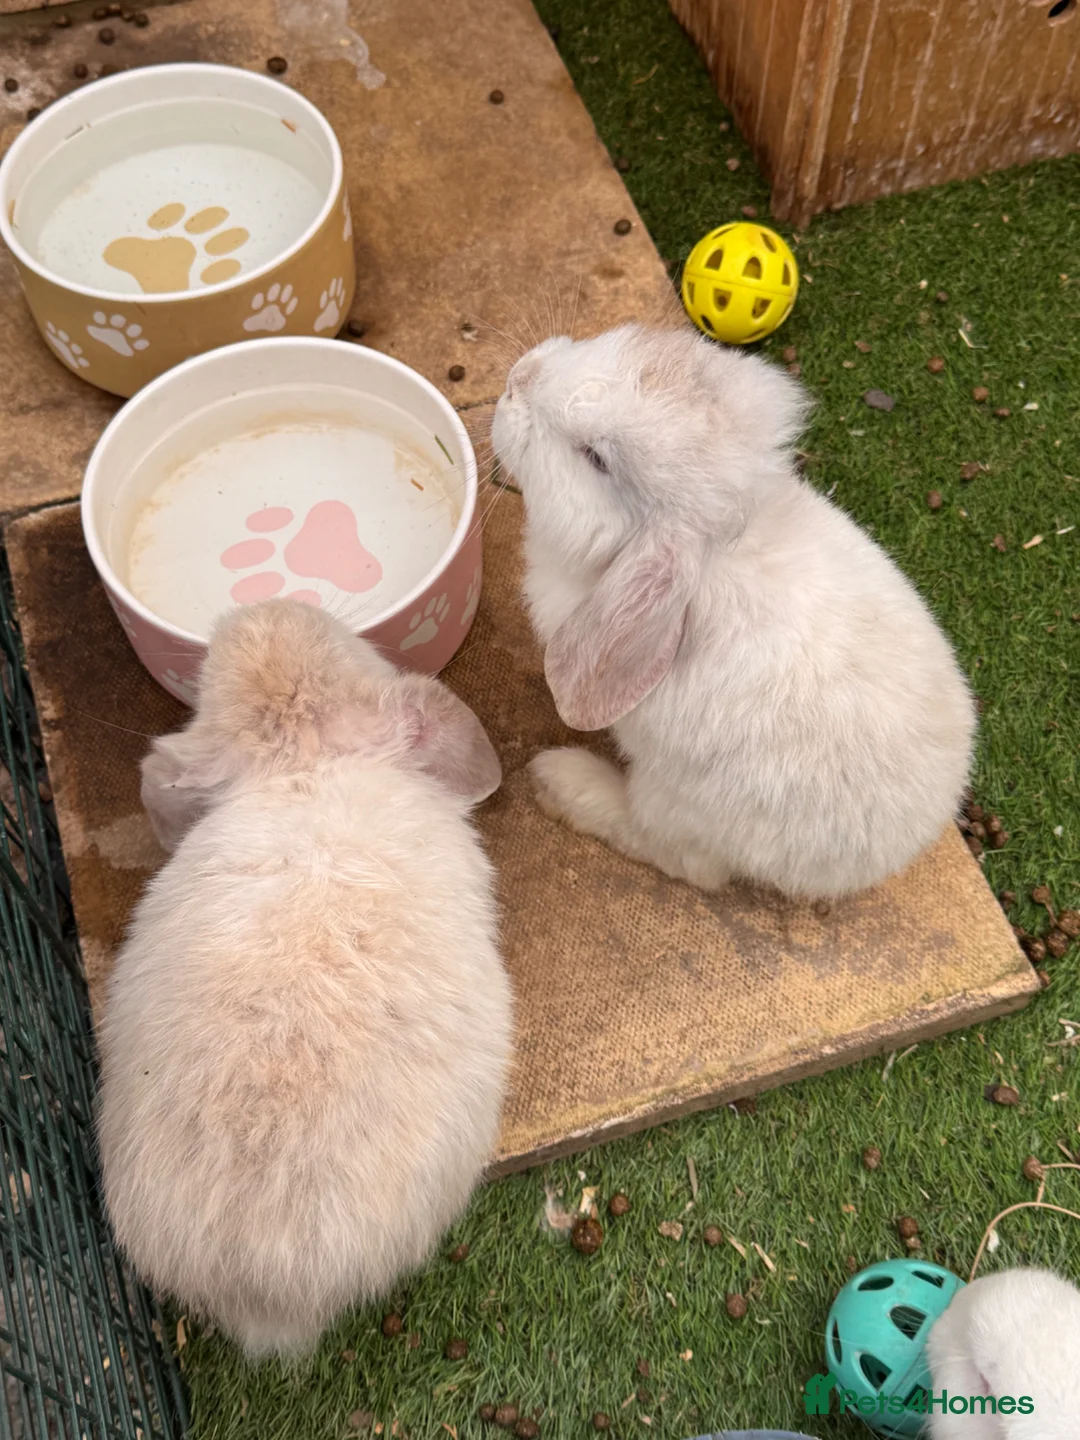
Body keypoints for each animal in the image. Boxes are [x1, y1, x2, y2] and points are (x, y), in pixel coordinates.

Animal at [490, 324, 975, 900]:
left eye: (596, 458)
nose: (518, 378)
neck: (717, 555)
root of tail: (894, 852)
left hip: (675, 804)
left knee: (681, 860)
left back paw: (562, 781)